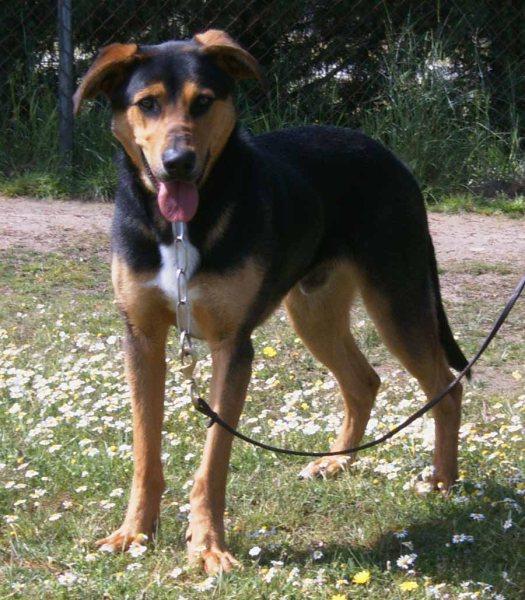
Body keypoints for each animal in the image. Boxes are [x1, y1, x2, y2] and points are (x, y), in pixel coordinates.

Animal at [74, 30, 466, 576]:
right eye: (147, 103)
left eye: (203, 101)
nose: (178, 163)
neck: (180, 226)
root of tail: (386, 153)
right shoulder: (142, 338)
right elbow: (145, 453)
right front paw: (134, 532)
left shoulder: (231, 346)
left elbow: (213, 460)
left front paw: (208, 546)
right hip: (314, 311)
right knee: (364, 381)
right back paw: (336, 461)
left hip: (397, 301)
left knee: (446, 389)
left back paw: (443, 482)